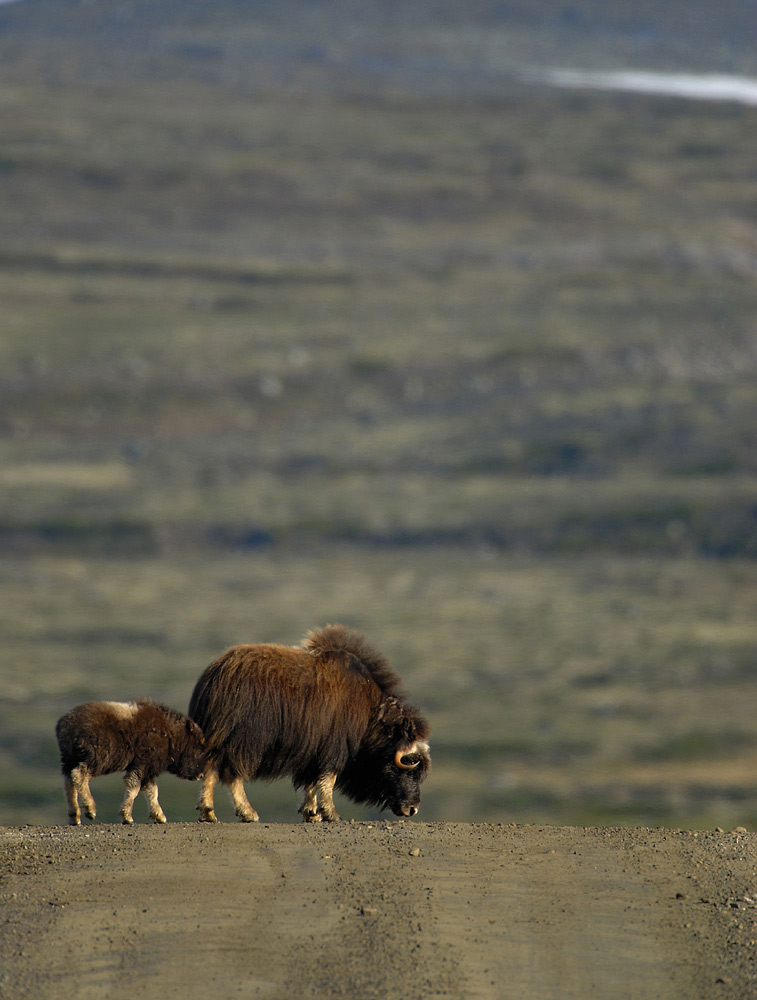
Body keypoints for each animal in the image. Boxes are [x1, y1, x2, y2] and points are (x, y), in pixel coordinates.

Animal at [54, 700, 205, 824]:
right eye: (198, 750)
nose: (201, 775)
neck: (170, 735)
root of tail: (64, 725)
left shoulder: (147, 771)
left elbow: (152, 791)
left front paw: (159, 816)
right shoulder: (142, 765)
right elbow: (135, 788)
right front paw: (127, 817)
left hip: (68, 760)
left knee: (68, 783)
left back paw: (74, 816)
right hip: (96, 759)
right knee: (79, 775)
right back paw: (90, 810)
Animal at [188, 624, 428, 820]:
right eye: (409, 765)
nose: (412, 809)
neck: (372, 711)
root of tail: (215, 675)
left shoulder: (314, 751)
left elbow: (311, 781)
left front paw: (311, 813)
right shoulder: (334, 749)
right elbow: (327, 780)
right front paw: (330, 814)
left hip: (217, 738)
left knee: (211, 767)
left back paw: (208, 812)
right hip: (245, 741)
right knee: (233, 773)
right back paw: (248, 813)